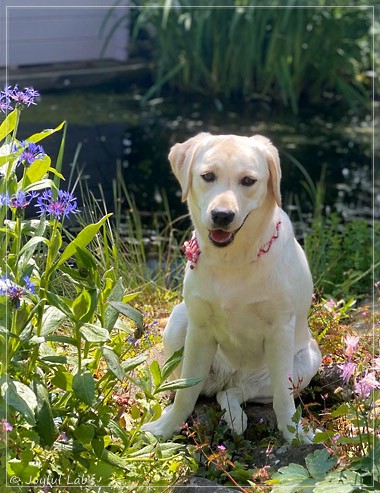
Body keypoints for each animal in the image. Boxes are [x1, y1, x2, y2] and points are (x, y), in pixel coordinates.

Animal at [142, 132, 320, 442]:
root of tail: (230, 375)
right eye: (208, 176)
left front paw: (294, 435)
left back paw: (236, 418)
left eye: (248, 181)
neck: (233, 261)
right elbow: (186, 393)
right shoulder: (200, 330)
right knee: (204, 389)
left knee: (237, 391)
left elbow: (283, 399)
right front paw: (167, 428)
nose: (222, 215)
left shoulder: (280, 331)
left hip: (306, 361)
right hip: (179, 320)